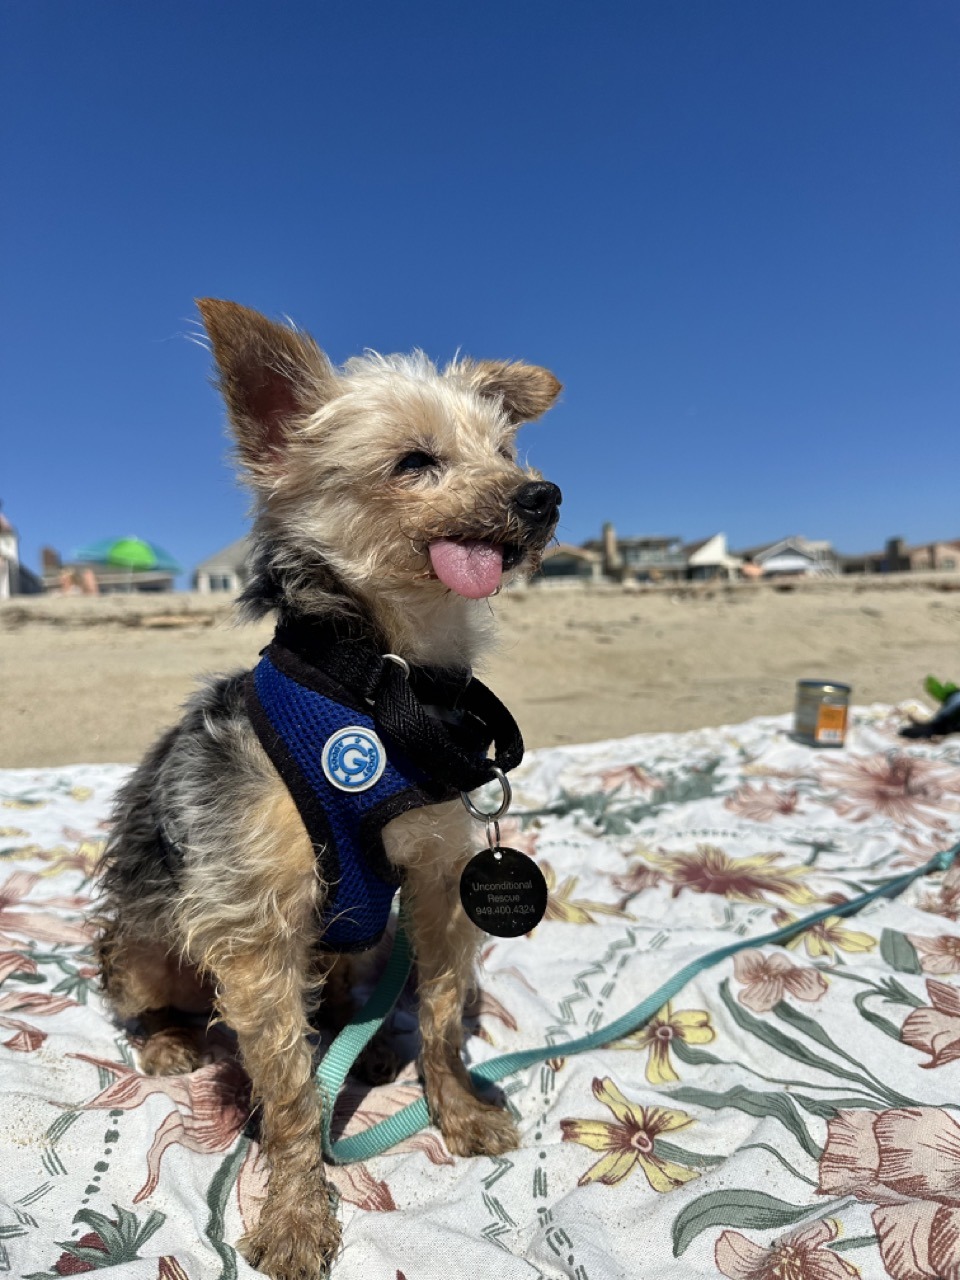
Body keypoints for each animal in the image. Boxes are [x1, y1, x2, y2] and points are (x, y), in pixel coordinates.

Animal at [94, 302, 560, 1280]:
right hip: (150, 933)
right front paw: (297, 1210)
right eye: (415, 461)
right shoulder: (253, 926)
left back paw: (364, 1034)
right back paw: (168, 1039)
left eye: (506, 451)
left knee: (354, 990)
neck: (384, 686)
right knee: (137, 981)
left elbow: (442, 1014)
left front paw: (455, 1109)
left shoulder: (435, 882)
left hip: (364, 940)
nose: (544, 495)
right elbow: (291, 1089)